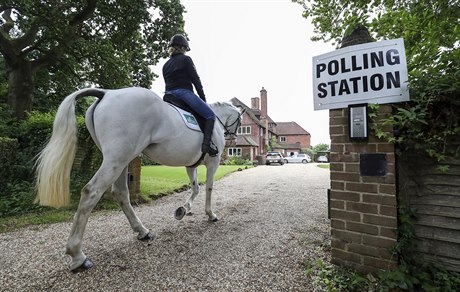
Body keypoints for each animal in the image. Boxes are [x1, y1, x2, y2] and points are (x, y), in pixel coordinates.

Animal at [36, 86, 243, 272]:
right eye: (240, 122)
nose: (233, 140)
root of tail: (107, 93)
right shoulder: (213, 162)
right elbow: (208, 188)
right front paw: (210, 214)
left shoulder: (190, 165)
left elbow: (195, 188)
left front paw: (183, 210)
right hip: (116, 159)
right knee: (91, 192)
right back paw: (78, 256)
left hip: (122, 160)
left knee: (120, 193)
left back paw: (142, 231)